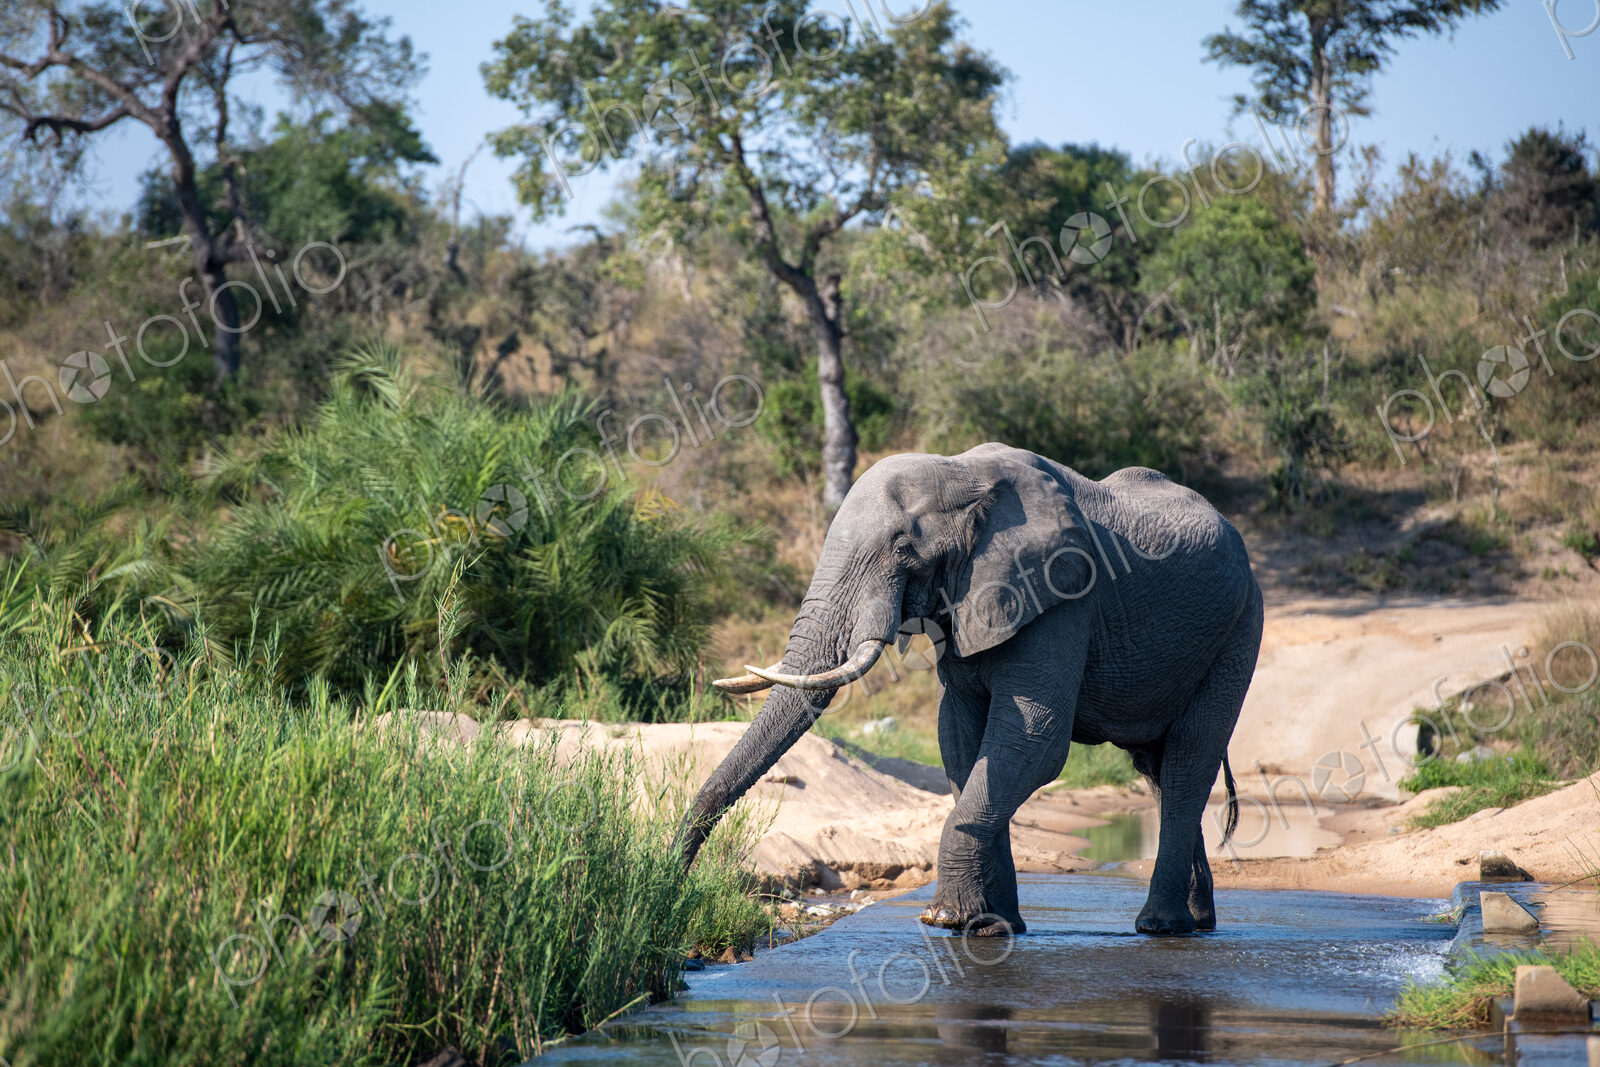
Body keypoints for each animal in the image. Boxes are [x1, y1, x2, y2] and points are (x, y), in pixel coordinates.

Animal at [679, 443, 1263, 936]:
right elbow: (959, 737)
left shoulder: (1062, 596)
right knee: (1157, 769)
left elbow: (1034, 740)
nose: (674, 873)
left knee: (1189, 759)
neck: (962, 472)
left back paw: (1161, 927)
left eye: (902, 548)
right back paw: (1196, 922)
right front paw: (989, 926)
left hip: (1239, 627)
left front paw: (944, 919)